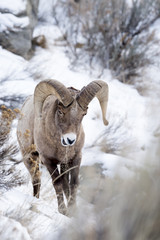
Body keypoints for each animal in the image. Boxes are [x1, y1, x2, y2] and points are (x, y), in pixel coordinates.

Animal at [16, 79, 109, 216]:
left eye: (84, 113)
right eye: (60, 111)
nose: (70, 140)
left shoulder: (75, 158)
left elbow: (73, 184)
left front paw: (73, 211)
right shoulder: (48, 161)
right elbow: (57, 184)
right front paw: (63, 211)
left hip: (63, 165)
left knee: (65, 184)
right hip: (30, 158)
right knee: (36, 180)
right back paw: (35, 200)